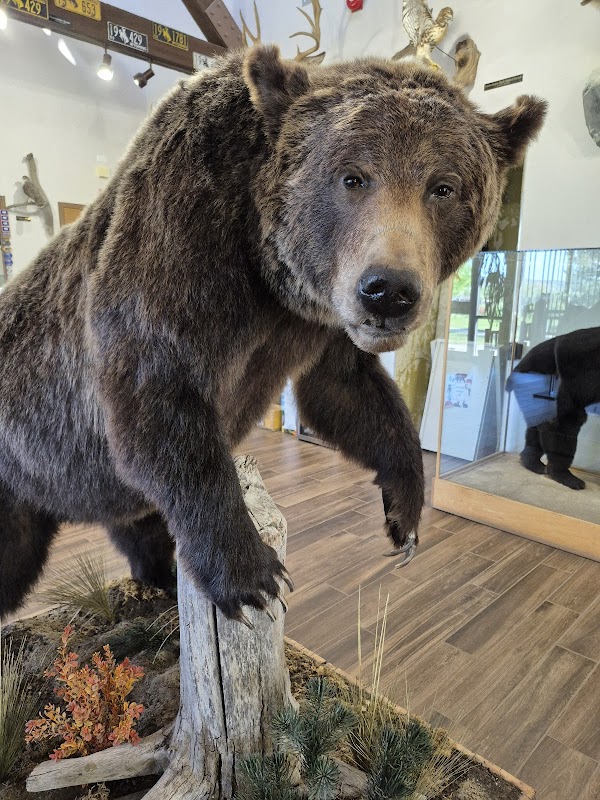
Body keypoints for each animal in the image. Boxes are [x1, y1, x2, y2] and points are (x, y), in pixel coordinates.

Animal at [0, 45, 546, 623]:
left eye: (443, 187)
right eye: (352, 176)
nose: (388, 291)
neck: (270, 280)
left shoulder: (323, 323)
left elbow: (345, 393)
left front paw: (404, 510)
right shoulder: (176, 245)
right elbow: (159, 399)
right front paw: (251, 575)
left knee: (140, 525)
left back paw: (162, 577)